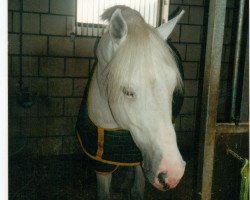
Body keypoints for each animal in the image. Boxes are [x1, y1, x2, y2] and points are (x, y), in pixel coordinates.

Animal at [76, 5, 186, 199]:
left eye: (173, 87)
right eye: (127, 92)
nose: (172, 173)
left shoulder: (139, 158)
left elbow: (137, 191)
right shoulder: (102, 163)